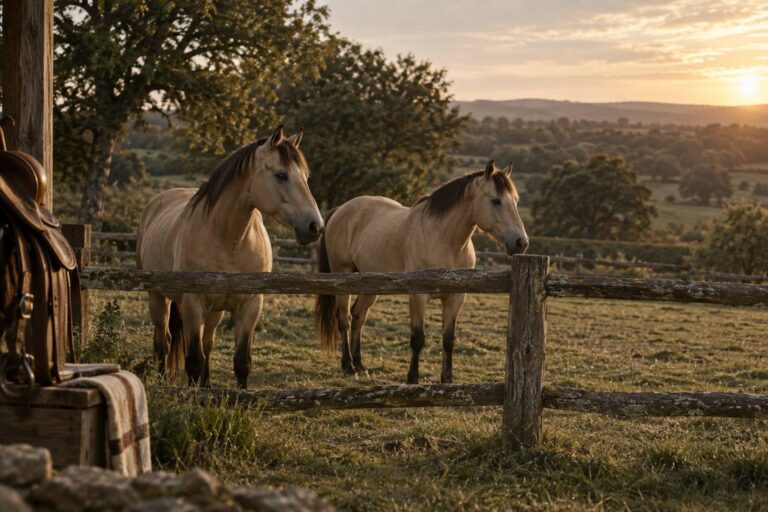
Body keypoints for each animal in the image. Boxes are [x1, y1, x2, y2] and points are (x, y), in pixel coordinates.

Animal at [137, 126, 323, 388]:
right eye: (281, 175)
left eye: (306, 176)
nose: (315, 227)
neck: (230, 240)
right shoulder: (193, 304)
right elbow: (193, 361)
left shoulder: (250, 306)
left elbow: (241, 362)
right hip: (158, 298)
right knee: (163, 341)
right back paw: (164, 381)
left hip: (214, 311)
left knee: (207, 343)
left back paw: (206, 385)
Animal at [315, 161, 528, 384]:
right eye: (495, 200)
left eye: (515, 201)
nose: (521, 242)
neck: (443, 240)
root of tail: (340, 209)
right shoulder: (418, 296)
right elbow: (418, 338)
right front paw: (413, 378)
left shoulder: (456, 298)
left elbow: (448, 339)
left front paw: (447, 379)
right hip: (342, 277)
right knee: (344, 319)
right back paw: (348, 366)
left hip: (370, 285)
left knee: (358, 316)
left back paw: (360, 365)